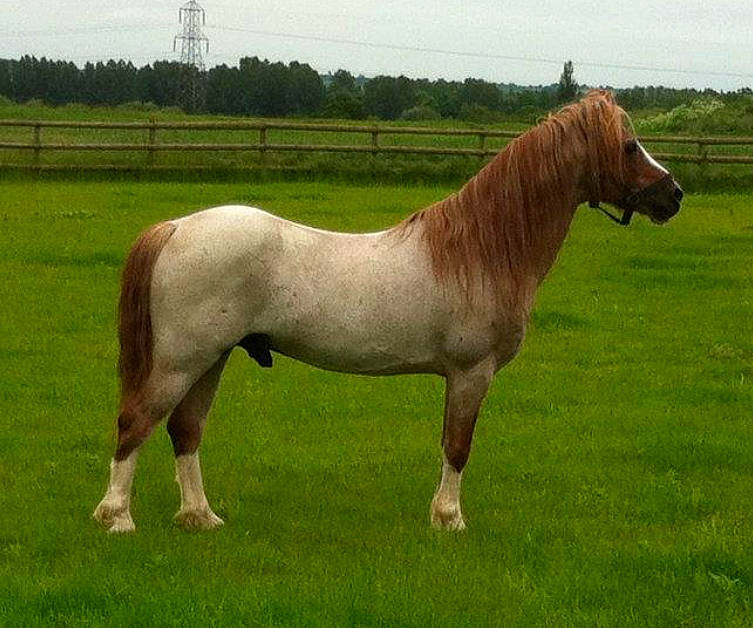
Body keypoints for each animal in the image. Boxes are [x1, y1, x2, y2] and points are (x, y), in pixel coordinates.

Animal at [93, 90, 683, 533]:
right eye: (630, 146)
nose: (674, 194)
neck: (481, 252)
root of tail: (175, 228)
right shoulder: (471, 373)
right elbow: (457, 447)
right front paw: (449, 519)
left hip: (210, 359)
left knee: (185, 430)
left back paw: (200, 517)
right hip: (181, 361)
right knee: (137, 421)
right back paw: (117, 518)